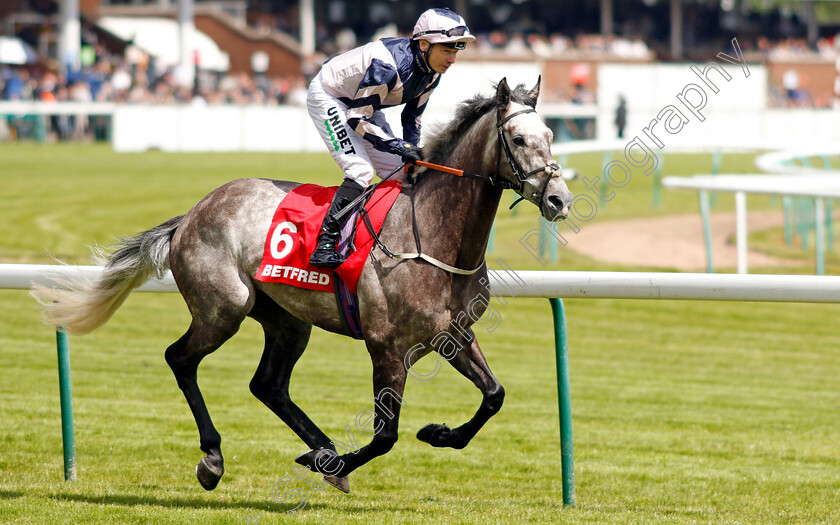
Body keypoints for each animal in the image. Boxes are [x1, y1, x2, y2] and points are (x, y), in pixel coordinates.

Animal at [32, 78, 572, 492]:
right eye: (518, 139)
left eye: (550, 133)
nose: (559, 199)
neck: (434, 233)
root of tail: (192, 213)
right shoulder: (386, 345)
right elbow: (385, 435)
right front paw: (338, 460)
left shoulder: (451, 334)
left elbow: (494, 395)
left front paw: (439, 434)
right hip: (223, 307)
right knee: (180, 359)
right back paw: (216, 458)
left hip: (287, 320)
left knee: (267, 384)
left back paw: (324, 453)